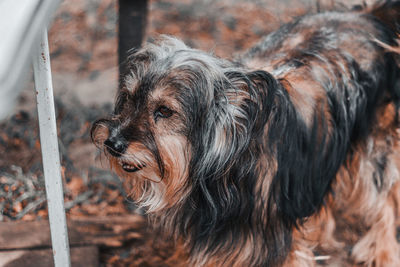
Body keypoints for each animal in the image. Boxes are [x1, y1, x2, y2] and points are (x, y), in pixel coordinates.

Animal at [92, 1, 400, 266]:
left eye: (164, 111)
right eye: (129, 98)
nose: (113, 143)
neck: (227, 163)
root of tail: (370, 16)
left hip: (376, 146)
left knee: (385, 197)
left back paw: (381, 251)